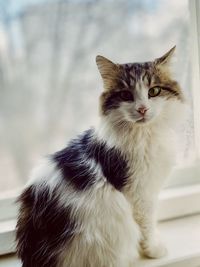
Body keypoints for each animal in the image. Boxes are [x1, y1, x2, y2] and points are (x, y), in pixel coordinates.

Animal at [15, 46, 184, 267]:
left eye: (153, 91)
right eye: (126, 94)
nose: (142, 109)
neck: (144, 135)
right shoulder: (140, 194)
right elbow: (147, 226)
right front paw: (153, 250)